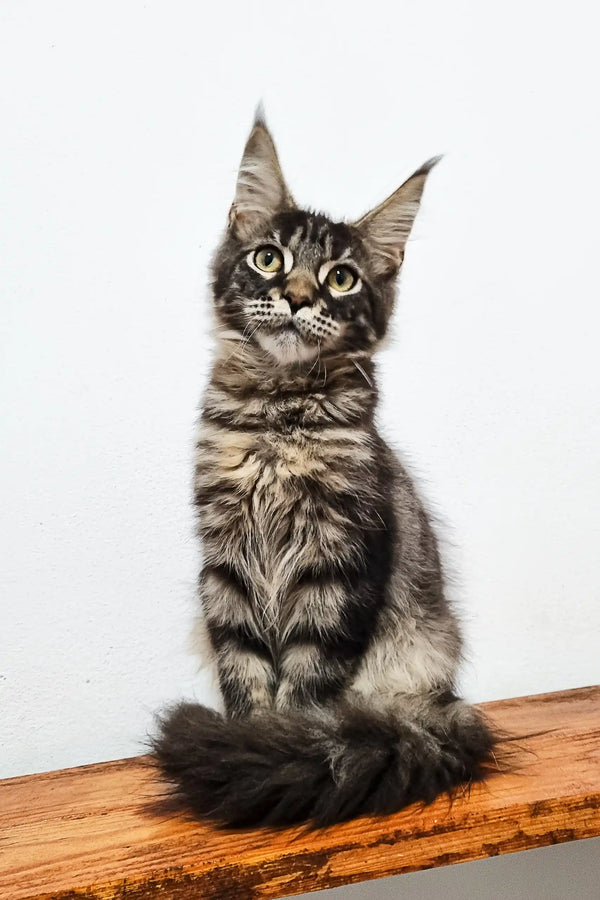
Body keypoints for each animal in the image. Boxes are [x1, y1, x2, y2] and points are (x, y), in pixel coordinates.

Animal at [152, 112, 494, 828]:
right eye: (268, 259)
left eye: (342, 279)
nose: (297, 295)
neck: (277, 420)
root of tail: (442, 701)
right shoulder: (225, 564)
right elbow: (245, 672)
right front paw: (247, 741)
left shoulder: (338, 562)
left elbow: (306, 686)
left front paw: (277, 751)